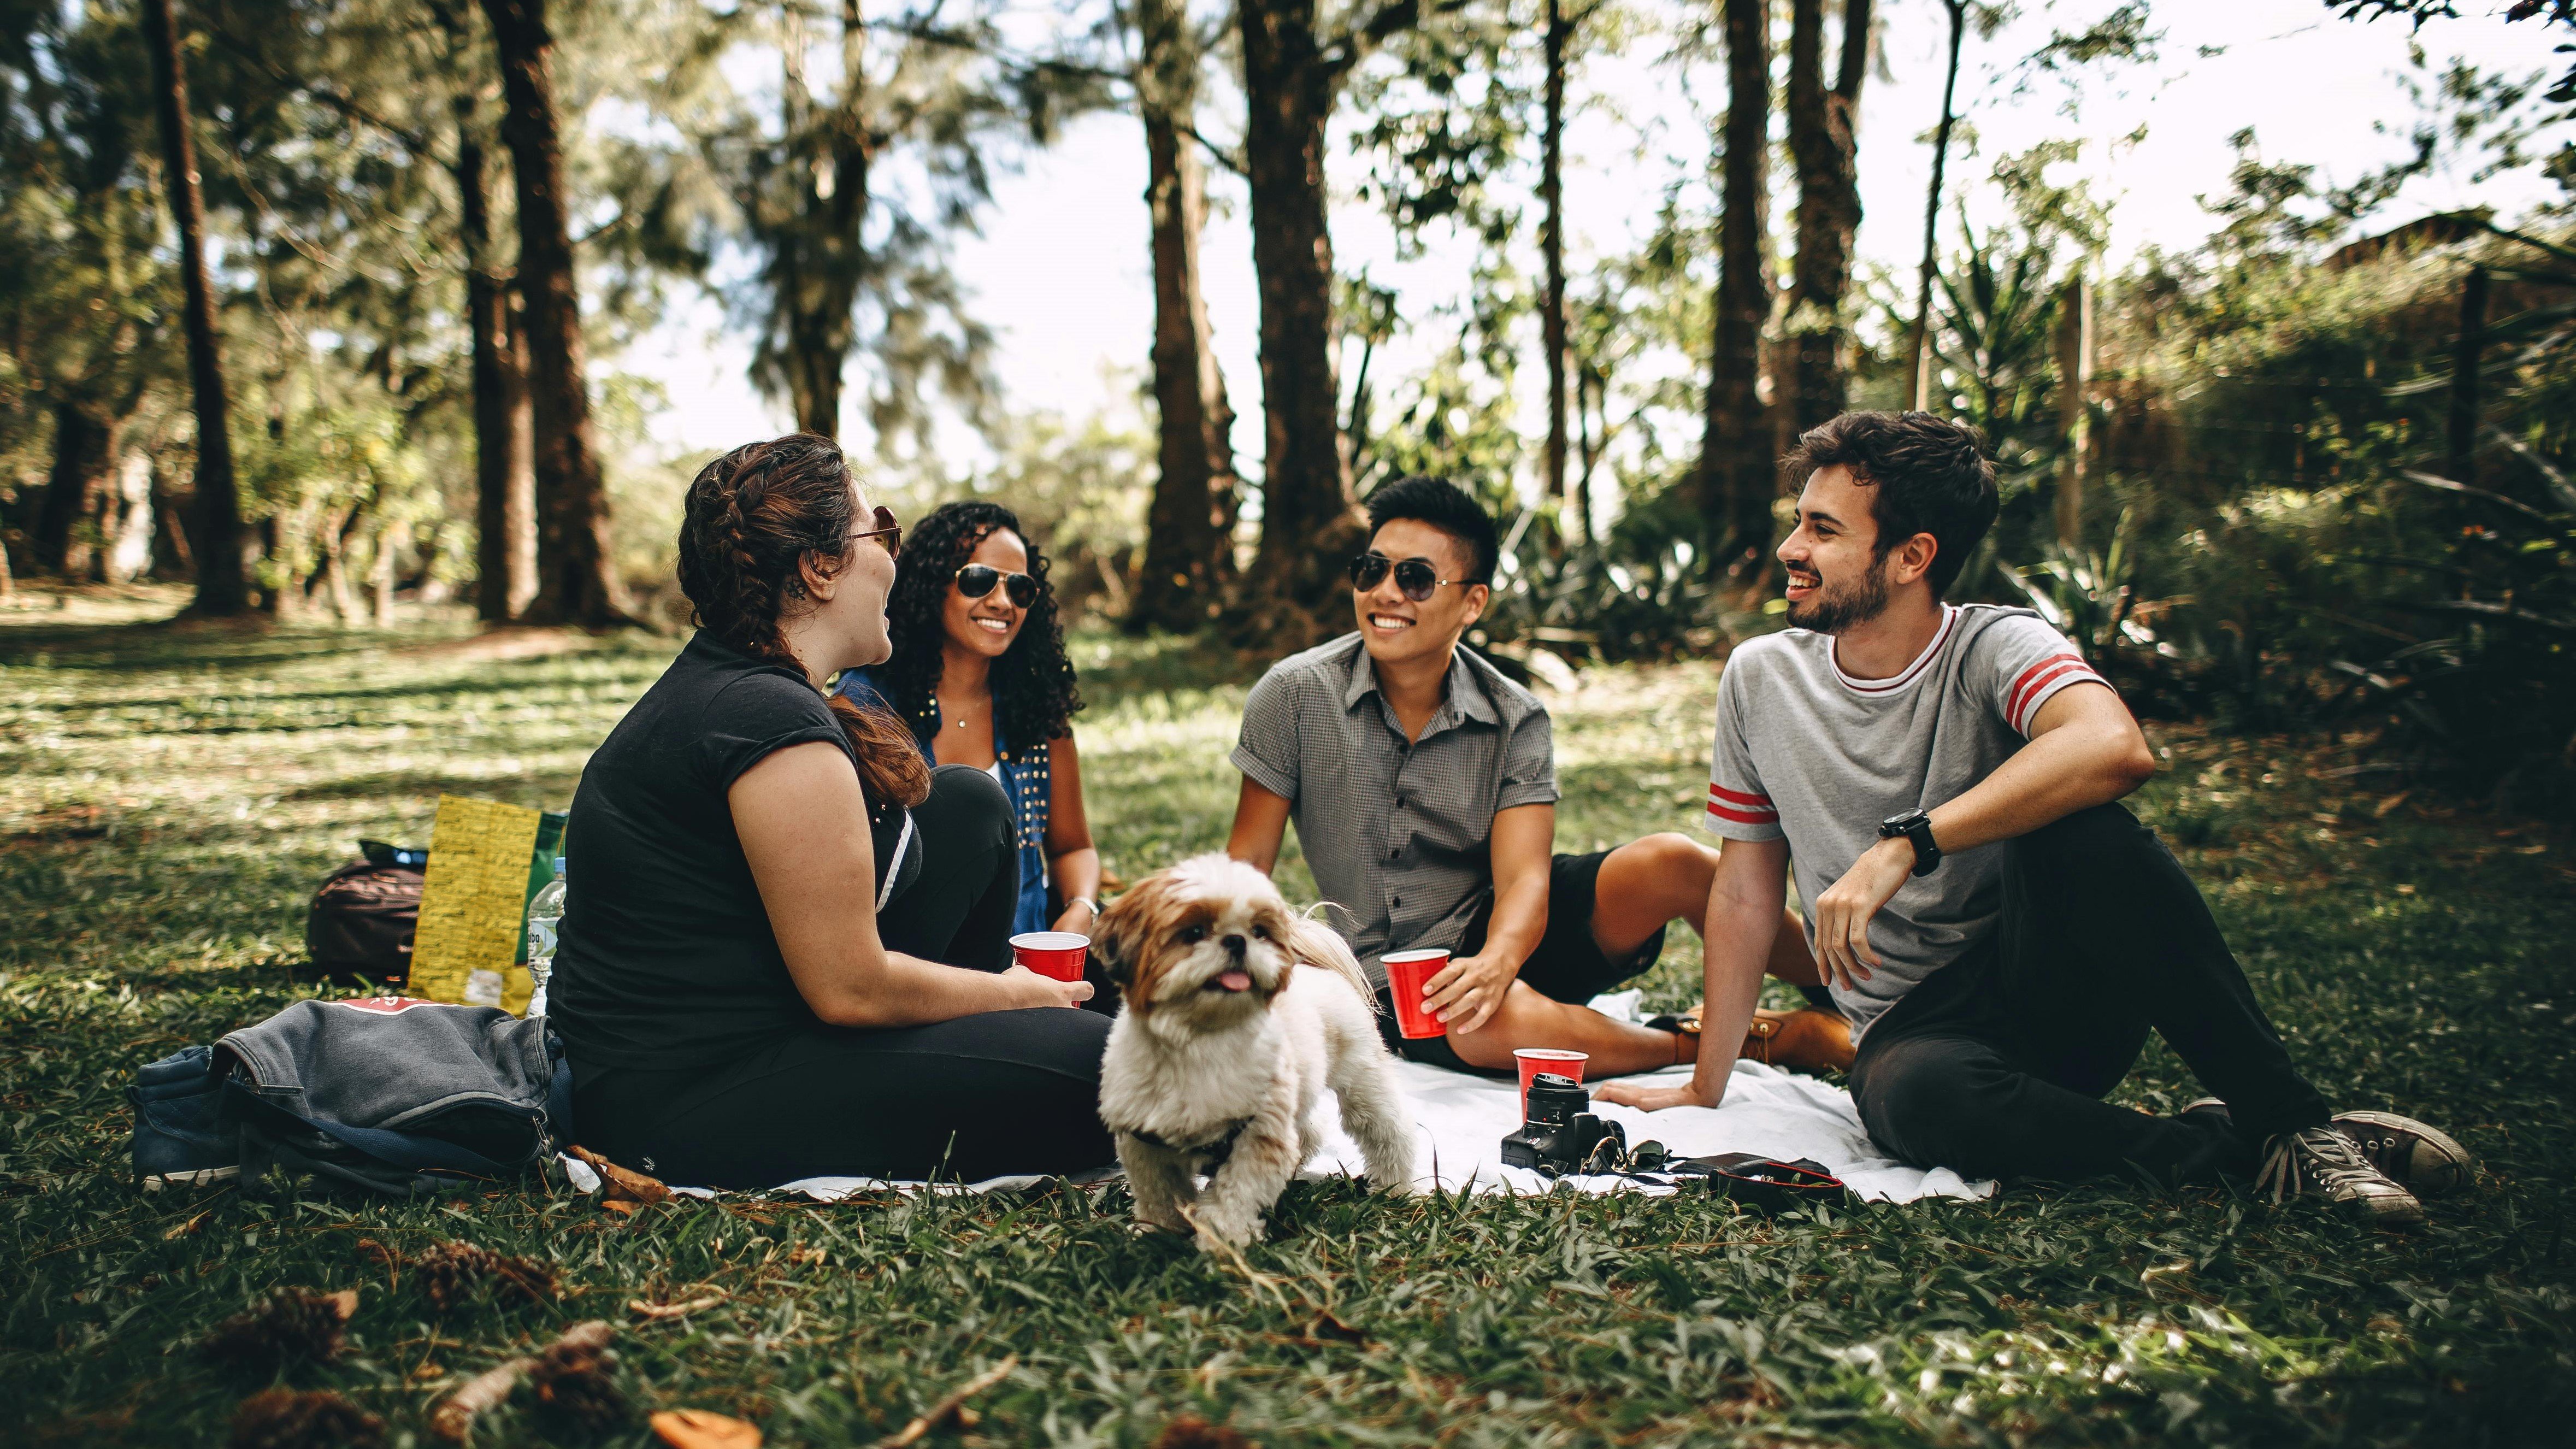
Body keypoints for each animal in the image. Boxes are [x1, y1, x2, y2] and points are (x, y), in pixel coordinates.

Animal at [1092, 851, 1422, 1247]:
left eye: (1258, 932)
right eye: (1194, 932)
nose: (1237, 941)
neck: (1200, 1041)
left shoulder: (1257, 1136)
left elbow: (1234, 1195)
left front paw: (1223, 1240)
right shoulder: (1144, 1141)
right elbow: (1158, 1193)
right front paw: (1157, 1232)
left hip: (1362, 1080)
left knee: (1389, 1131)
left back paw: (1395, 1187)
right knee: (1309, 1131)